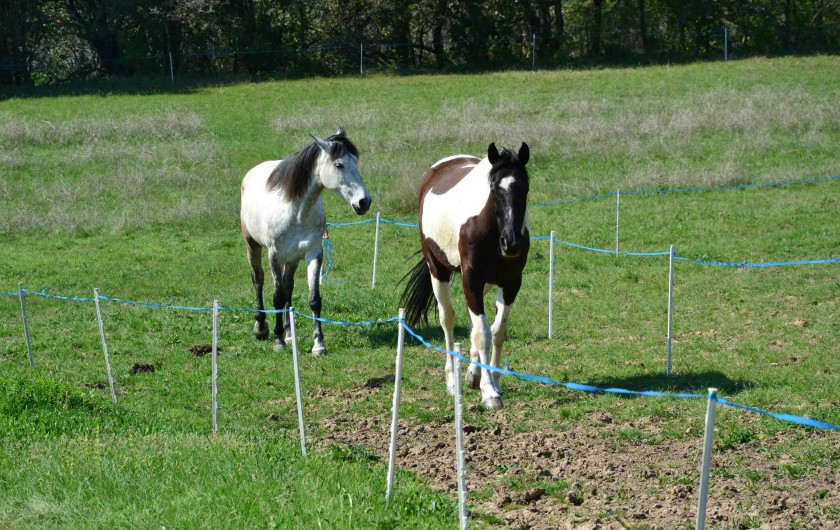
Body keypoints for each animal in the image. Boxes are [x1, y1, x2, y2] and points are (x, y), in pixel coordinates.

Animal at [240, 128, 371, 355]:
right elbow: (276, 296)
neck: (296, 212)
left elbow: (313, 299)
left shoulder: (313, 253)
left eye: (356, 161)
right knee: (258, 279)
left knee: (288, 288)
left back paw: (288, 333)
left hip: (292, 259)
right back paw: (262, 328)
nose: (364, 202)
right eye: (339, 164)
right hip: (253, 246)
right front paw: (278, 342)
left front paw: (318, 344)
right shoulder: (274, 255)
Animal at [400, 142, 530, 409]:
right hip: (438, 271)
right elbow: (483, 334)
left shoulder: (511, 282)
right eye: (494, 189)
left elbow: (497, 331)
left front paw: (492, 382)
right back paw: (453, 382)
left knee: (474, 325)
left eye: (525, 187)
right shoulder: (471, 279)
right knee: (448, 319)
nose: (511, 243)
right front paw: (489, 392)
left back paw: (473, 373)